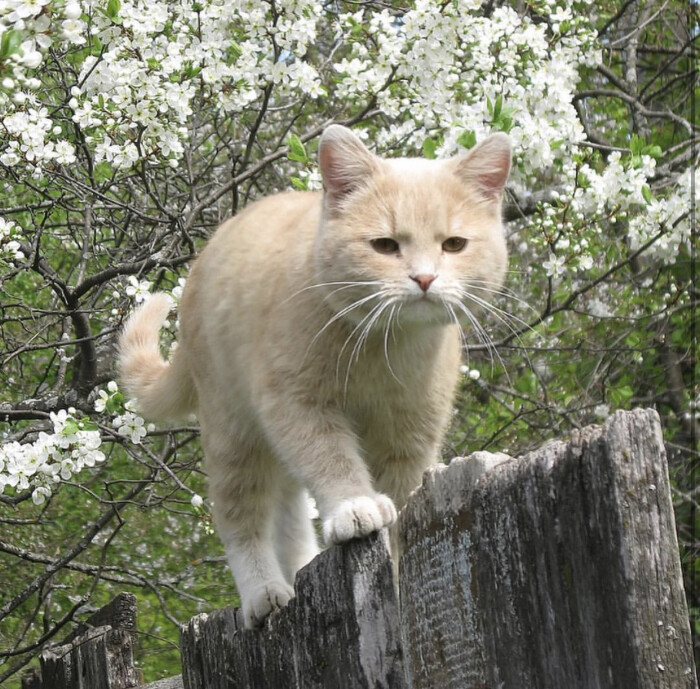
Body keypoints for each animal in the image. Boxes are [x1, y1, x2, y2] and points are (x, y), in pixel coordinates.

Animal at [117, 121, 512, 628]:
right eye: (385, 245)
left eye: (454, 245)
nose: (424, 279)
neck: (384, 347)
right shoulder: (297, 404)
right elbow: (332, 459)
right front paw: (354, 505)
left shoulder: (411, 430)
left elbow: (400, 489)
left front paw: (394, 553)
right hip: (233, 430)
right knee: (240, 515)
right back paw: (264, 591)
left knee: (288, 514)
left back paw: (302, 563)